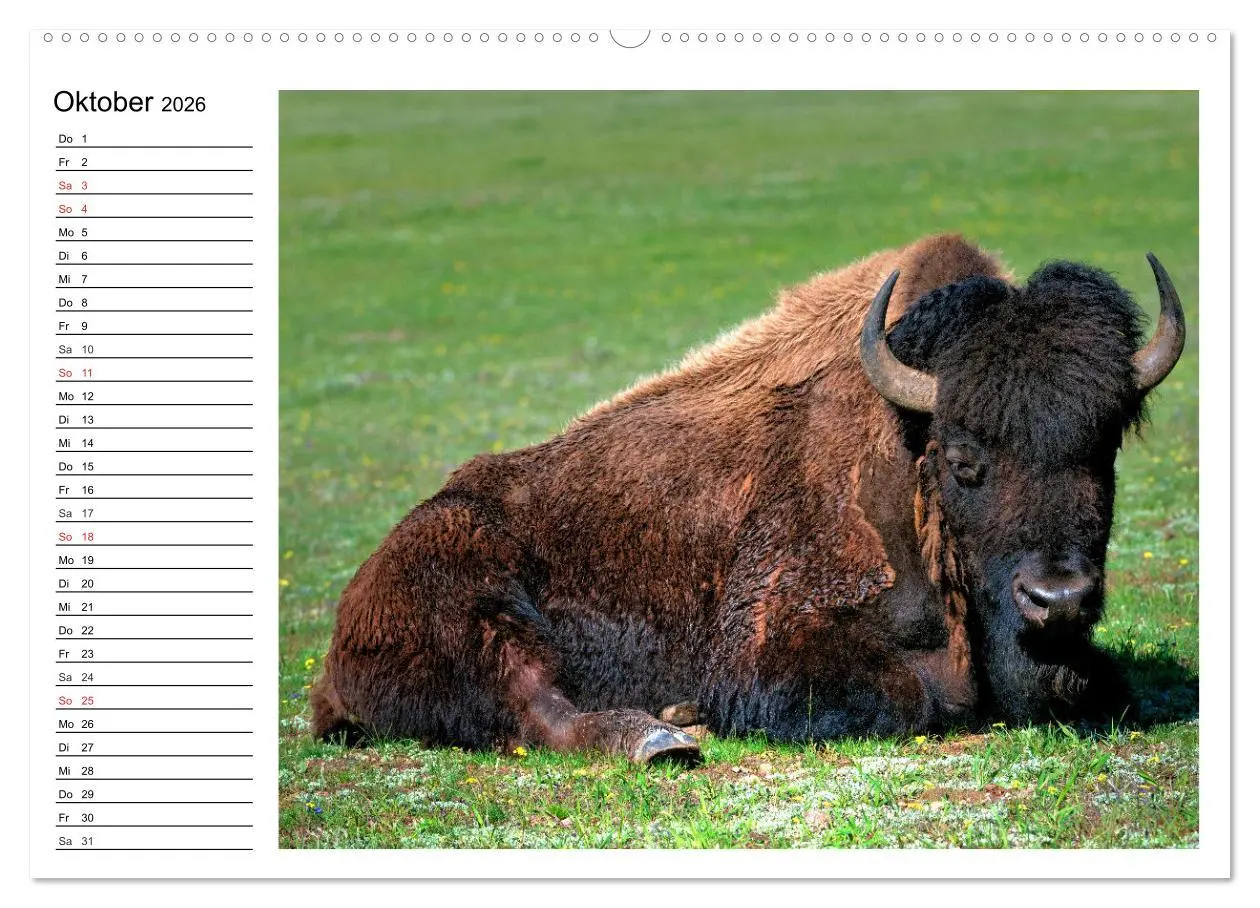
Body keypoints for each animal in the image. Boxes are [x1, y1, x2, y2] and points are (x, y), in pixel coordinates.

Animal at [311, 234, 1186, 764]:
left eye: (1104, 446)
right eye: (965, 459)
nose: (1057, 599)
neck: (909, 443)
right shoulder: (771, 651)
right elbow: (918, 692)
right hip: (476, 610)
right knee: (537, 706)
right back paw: (664, 734)